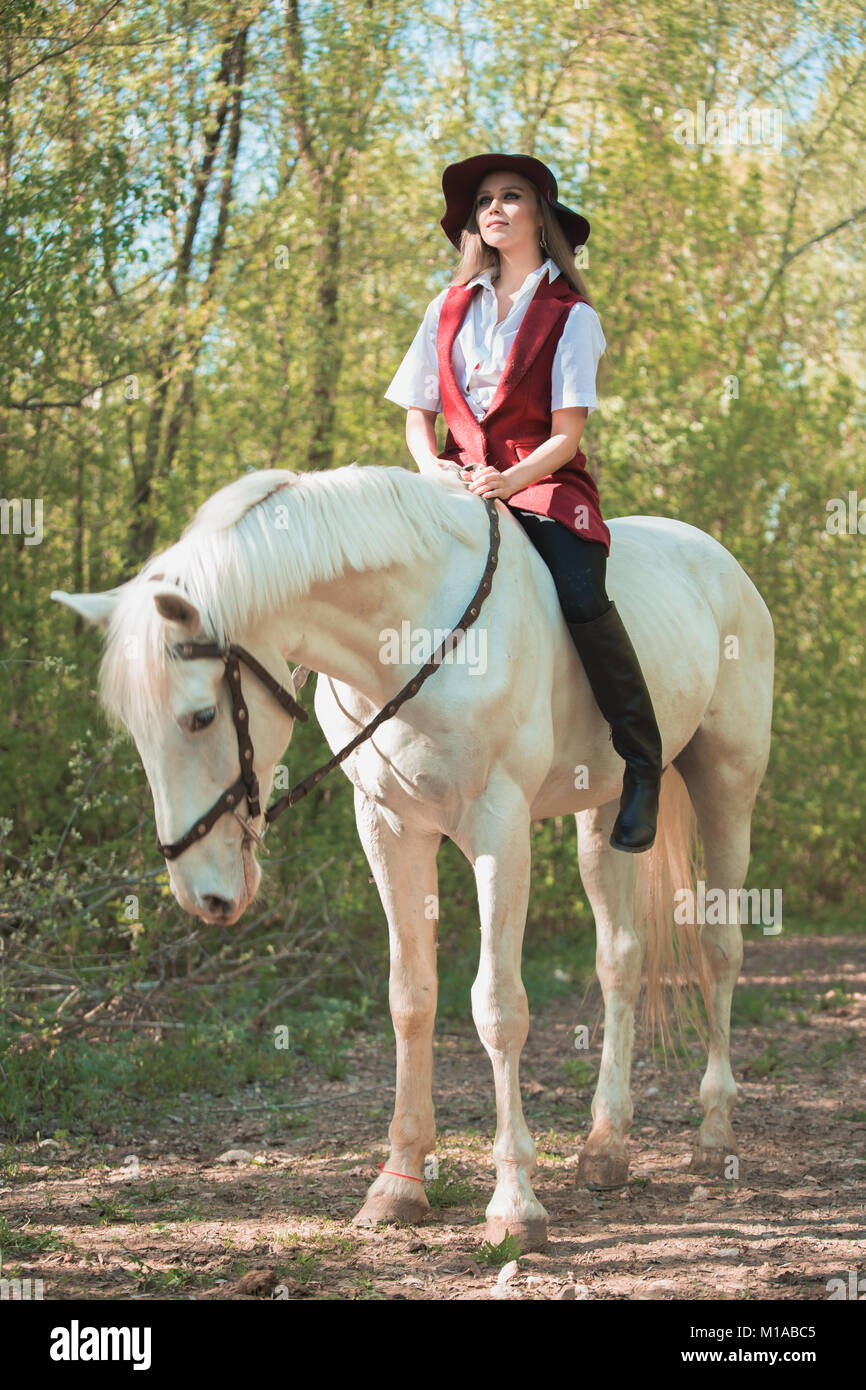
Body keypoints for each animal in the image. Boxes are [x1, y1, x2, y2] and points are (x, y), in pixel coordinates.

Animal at [52, 462, 774, 1251]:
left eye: (201, 717)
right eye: (134, 728)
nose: (203, 896)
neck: (408, 630)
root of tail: (719, 559)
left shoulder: (499, 828)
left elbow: (498, 1007)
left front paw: (514, 1203)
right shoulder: (390, 827)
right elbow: (411, 998)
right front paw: (398, 1183)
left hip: (728, 784)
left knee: (719, 950)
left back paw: (714, 1133)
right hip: (603, 813)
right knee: (621, 959)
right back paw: (606, 1147)